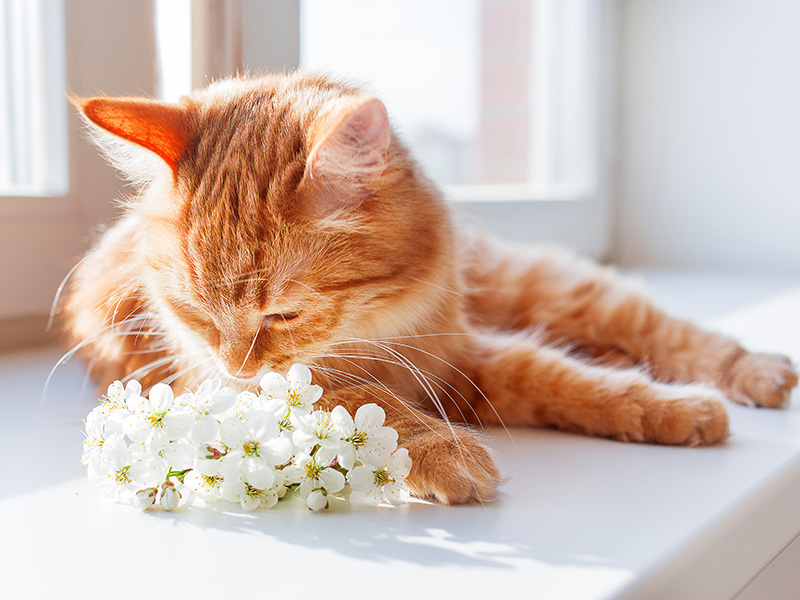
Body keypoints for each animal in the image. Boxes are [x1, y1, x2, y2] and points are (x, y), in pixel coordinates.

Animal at [59, 71, 796, 506]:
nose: (237, 363)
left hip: (551, 291)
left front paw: (671, 409)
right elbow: (365, 403)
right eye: (195, 315)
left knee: (665, 333)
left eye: (283, 314)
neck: (374, 328)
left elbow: (565, 378)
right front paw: (442, 451)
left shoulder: (462, 357)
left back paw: (755, 372)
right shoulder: (223, 384)